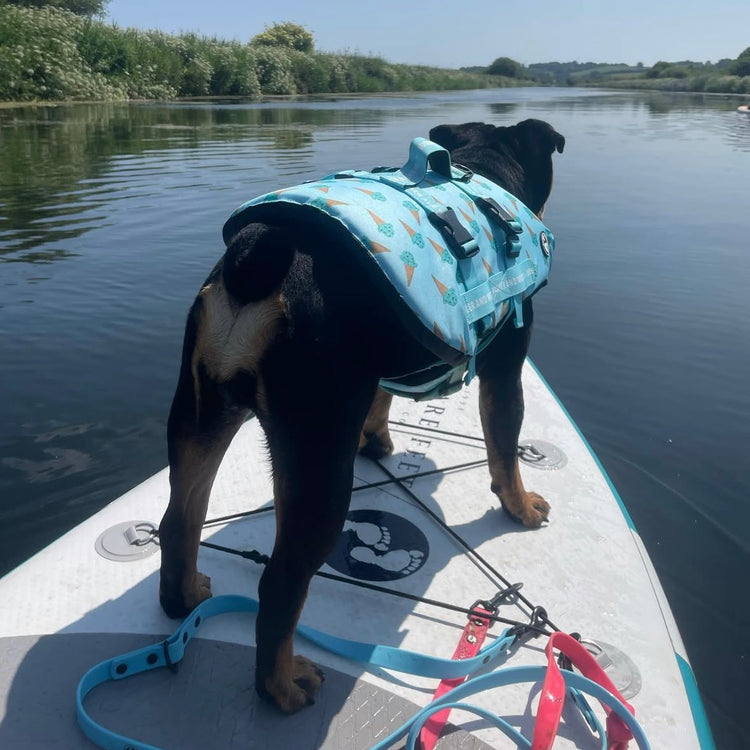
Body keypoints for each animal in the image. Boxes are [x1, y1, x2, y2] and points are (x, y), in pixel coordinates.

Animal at [162, 119, 568, 716]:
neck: (483, 174)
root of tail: (259, 260)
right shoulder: (505, 368)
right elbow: (504, 450)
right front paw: (521, 507)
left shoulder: (375, 371)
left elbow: (381, 402)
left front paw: (376, 442)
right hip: (318, 464)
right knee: (279, 586)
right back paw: (282, 686)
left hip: (199, 417)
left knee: (179, 518)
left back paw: (183, 596)